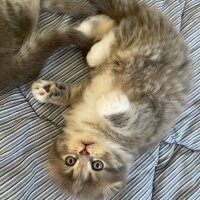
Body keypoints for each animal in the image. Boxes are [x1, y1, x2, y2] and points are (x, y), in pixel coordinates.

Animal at [31, 0, 191, 199]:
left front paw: (109, 103)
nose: (84, 150)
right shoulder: (85, 92)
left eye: (97, 165)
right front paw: (44, 91)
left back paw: (95, 41)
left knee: (118, 31)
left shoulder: (145, 119)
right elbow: (68, 94)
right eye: (71, 161)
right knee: (117, 28)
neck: (94, 129)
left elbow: (123, 118)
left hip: (143, 43)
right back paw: (95, 28)